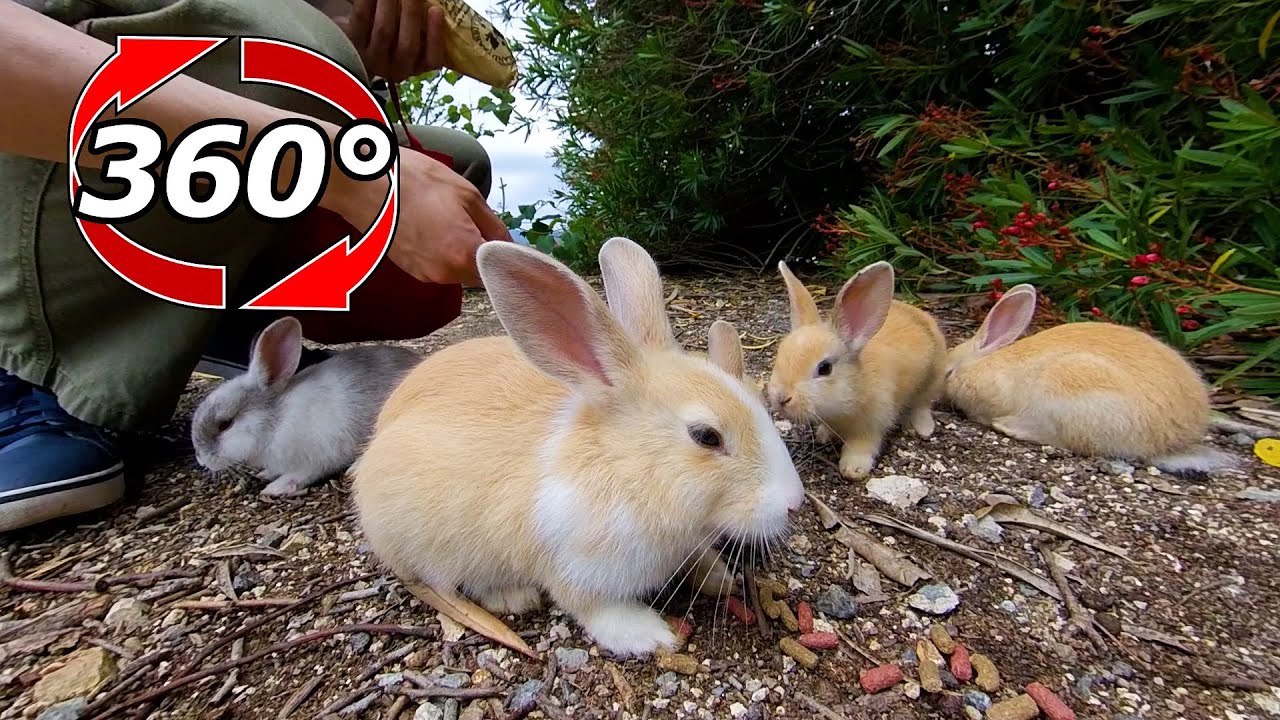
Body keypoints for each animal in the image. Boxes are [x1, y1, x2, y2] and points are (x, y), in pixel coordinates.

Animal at [192, 316, 422, 497]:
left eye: (225, 424)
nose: (201, 460)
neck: (276, 421)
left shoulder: (313, 459)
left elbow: (300, 475)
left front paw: (275, 488)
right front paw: (266, 474)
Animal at [350, 237, 805, 657]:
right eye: (706, 436)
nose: (795, 503)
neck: (627, 470)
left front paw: (719, 577)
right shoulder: (575, 569)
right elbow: (594, 608)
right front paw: (651, 635)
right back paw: (514, 596)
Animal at [765, 260, 948, 480]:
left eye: (824, 368)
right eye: (780, 354)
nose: (781, 398)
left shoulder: (872, 425)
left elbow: (862, 447)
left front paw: (853, 470)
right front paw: (823, 436)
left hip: (932, 380)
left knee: (922, 405)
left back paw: (923, 429)